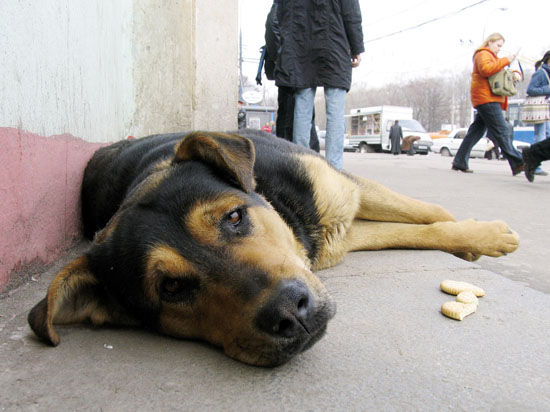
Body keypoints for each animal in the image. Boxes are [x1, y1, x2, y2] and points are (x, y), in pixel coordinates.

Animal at [27, 130, 520, 366]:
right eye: (170, 289)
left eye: (234, 217)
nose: (291, 313)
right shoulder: (334, 235)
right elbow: (417, 228)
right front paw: (477, 237)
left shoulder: (338, 194)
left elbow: (427, 212)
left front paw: (485, 236)